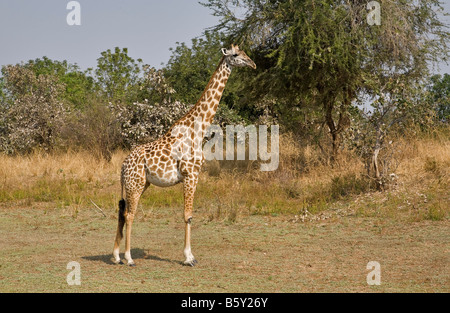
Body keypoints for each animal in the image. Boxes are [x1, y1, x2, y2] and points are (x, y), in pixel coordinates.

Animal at [113, 44, 256, 264]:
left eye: (244, 53)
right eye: (235, 55)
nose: (253, 63)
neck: (198, 129)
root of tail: (122, 166)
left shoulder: (194, 176)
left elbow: (189, 214)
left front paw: (189, 255)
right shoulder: (191, 175)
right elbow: (187, 215)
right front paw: (189, 258)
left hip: (141, 184)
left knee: (123, 212)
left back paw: (116, 256)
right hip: (134, 184)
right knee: (129, 214)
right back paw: (128, 258)